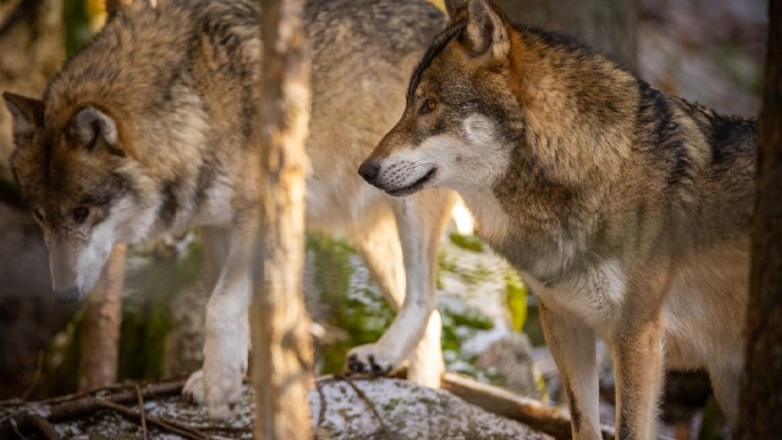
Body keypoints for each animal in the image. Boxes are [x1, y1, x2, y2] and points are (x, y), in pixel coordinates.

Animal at [3, 0, 460, 422]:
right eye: (41, 216)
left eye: (82, 213)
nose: (63, 294)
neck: (197, 100)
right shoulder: (216, 226)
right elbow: (247, 313)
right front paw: (235, 378)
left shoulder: (258, 213)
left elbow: (220, 305)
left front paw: (222, 385)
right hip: (371, 240)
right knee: (434, 320)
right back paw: (412, 384)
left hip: (409, 210)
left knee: (426, 298)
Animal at [362, 0, 760, 436]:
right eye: (408, 103)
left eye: (430, 105)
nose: (365, 170)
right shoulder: (565, 324)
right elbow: (582, 424)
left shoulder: (636, 337)